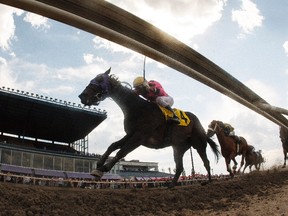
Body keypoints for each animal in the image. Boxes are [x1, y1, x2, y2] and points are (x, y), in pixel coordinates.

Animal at [77, 68, 219, 188]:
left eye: (100, 79)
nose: (82, 96)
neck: (137, 108)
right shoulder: (131, 133)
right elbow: (113, 145)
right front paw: (99, 165)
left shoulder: (140, 136)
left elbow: (122, 151)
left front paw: (103, 168)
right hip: (179, 147)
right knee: (179, 167)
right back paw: (171, 185)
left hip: (199, 143)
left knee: (206, 162)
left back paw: (209, 181)